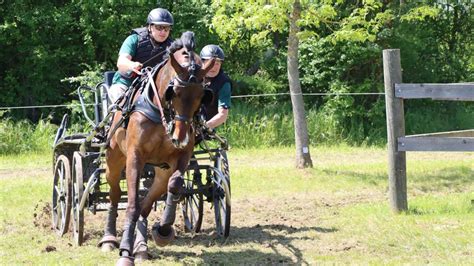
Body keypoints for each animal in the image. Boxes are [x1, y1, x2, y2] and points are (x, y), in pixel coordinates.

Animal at [99, 32, 216, 264]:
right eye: (175, 92)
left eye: (202, 95)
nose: (180, 136)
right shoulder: (135, 157)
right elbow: (132, 204)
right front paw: (125, 252)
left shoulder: (181, 156)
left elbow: (176, 185)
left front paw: (163, 229)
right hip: (113, 162)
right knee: (115, 195)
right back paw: (110, 238)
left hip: (161, 171)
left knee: (148, 203)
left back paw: (142, 246)